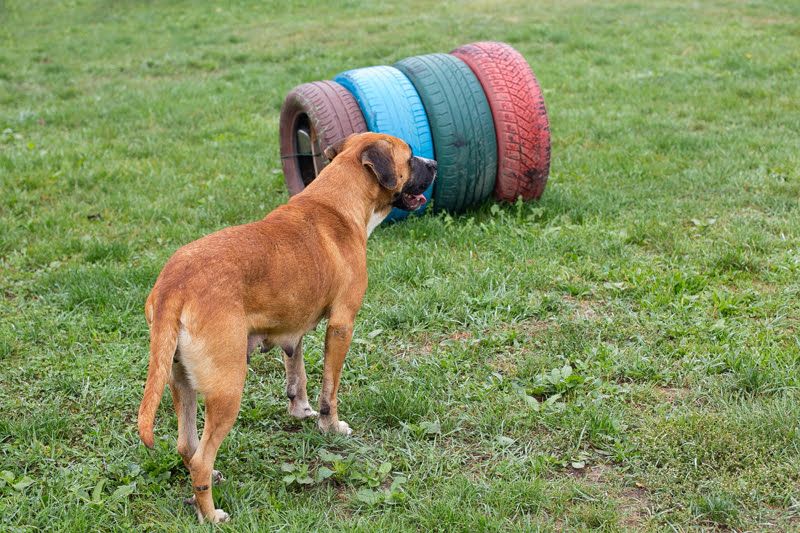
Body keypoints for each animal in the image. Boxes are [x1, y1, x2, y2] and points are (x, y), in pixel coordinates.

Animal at [137, 132, 436, 523]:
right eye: (410, 156)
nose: (434, 164)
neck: (337, 201)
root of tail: (174, 284)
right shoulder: (342, 325)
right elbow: (329, 390)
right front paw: (329, 426)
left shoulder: (293, 330)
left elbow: (299, 375)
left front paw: (300, 409)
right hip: (228, 388)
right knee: (201, 457)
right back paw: (211, 514)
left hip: (179, 381)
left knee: (187, 446)